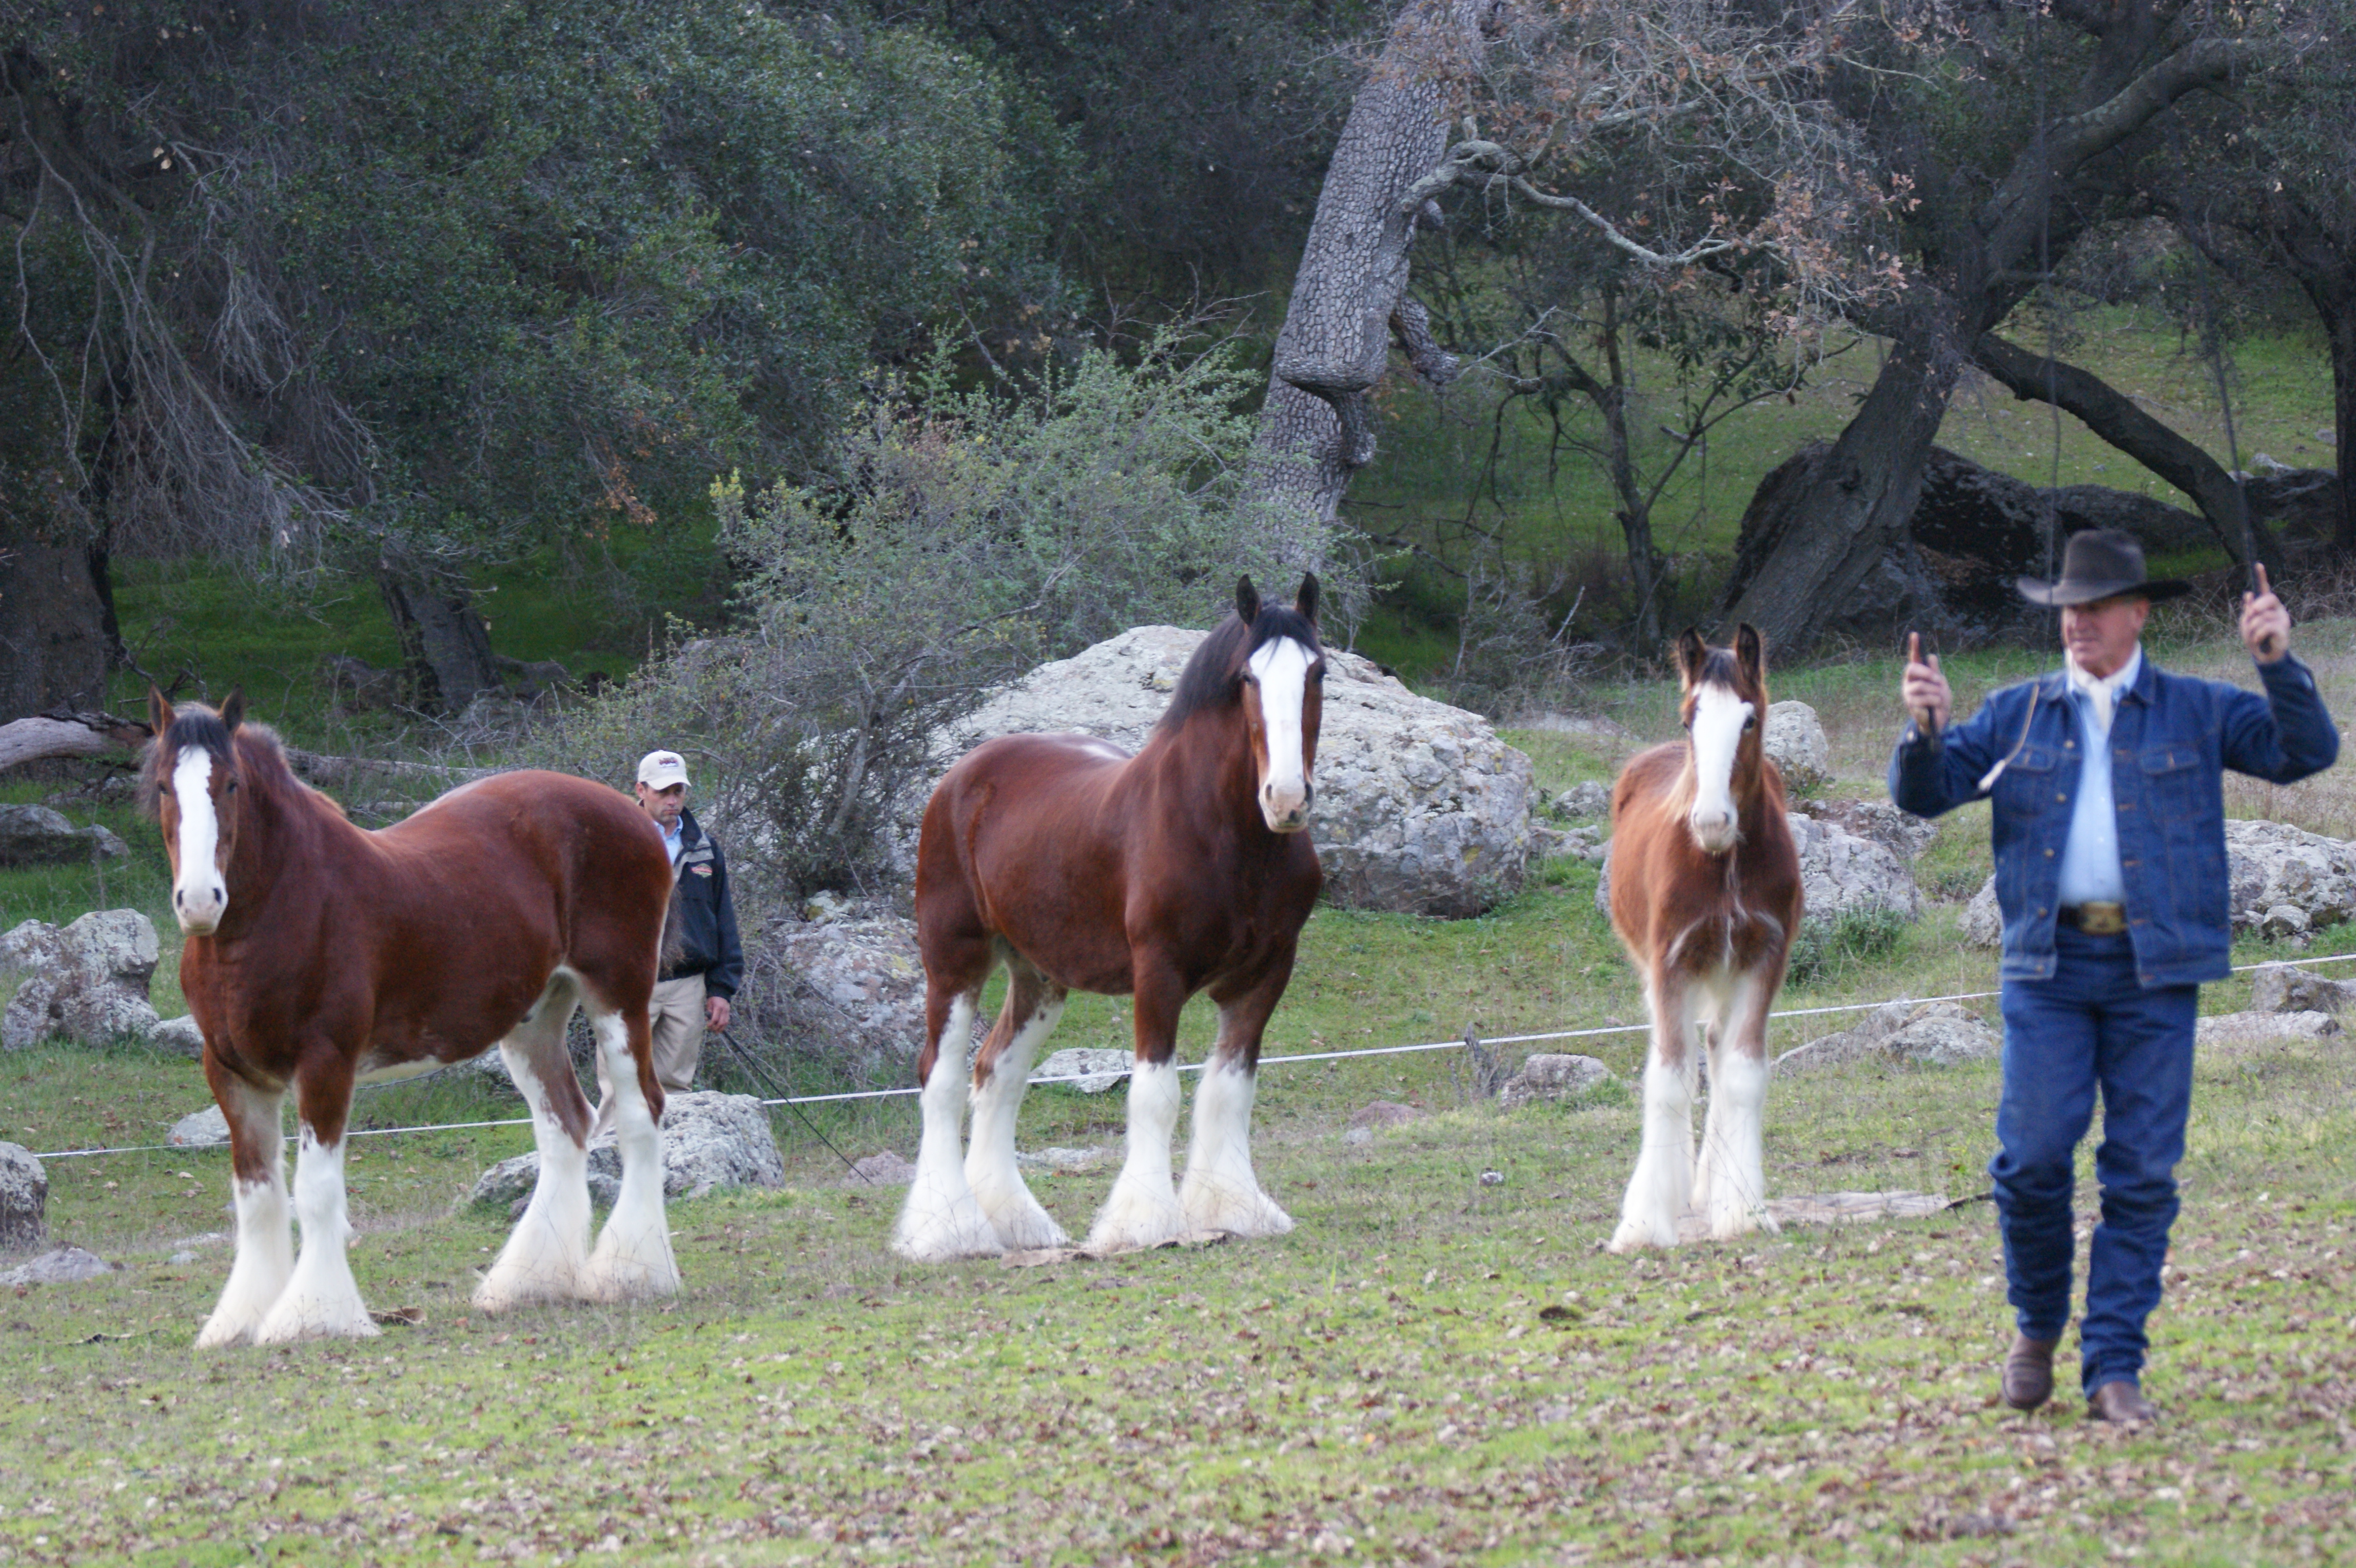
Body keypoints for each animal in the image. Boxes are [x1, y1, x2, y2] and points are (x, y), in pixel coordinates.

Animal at [145, 692, 683, 1337]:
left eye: (230, 784)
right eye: (162, 786)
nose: (201, 901)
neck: (279, 909)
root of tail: (637, 818)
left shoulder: (325, 1062)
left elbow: (315, 1190)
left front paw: (314, 1315)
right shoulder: (233, 1073)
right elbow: (257, 1195)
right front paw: (243, 1318)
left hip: (619, 994)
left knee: (639, 1112)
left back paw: (631, 1274)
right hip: (536, 1016)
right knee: (565, 1124)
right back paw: (529, 1282)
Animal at [890, 574, 1328, 1262]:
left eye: (1317, 671)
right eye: (1246, 678)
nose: (1285, 799)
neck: (1227, 836)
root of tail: (960, 776)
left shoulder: (1265, 974)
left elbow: (1229, 1090)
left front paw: (1233, 1207)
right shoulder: (1158, 971)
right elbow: (1155, 1094)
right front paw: (1145, 1223)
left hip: (1037, 978)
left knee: (996, 1073)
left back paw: (1015, 1221)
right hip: (953, 958)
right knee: (940, 1076)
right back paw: (948, 1230)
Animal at [1602, 621, 1800, 1243]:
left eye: (1749, 720)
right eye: (1690, 720)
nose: (1711, 822)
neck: (1723, 865)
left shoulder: (1764, 956)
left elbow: (1742, 1073)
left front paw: (1741, 1209)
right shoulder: (1672, 960)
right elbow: (1668, 1076)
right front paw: (1644, 1222)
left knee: (1714, 1045)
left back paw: (1710, 1185)